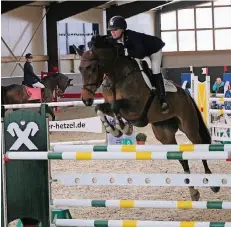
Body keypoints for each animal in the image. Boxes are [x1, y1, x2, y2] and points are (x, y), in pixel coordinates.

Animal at [78, 34, 221, 201]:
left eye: (93, 68)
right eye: (80, 69)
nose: (86, 99)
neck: (116, 76)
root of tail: (185, 94)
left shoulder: (136, 107)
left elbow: (116, 107)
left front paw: (123, 128)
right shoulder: (111, 105)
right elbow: (101, 109)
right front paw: (115, 130)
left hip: (189, 127)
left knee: (200, 147)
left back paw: (213, 184)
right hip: (164, 135)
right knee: (182, 158)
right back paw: (194, 192)